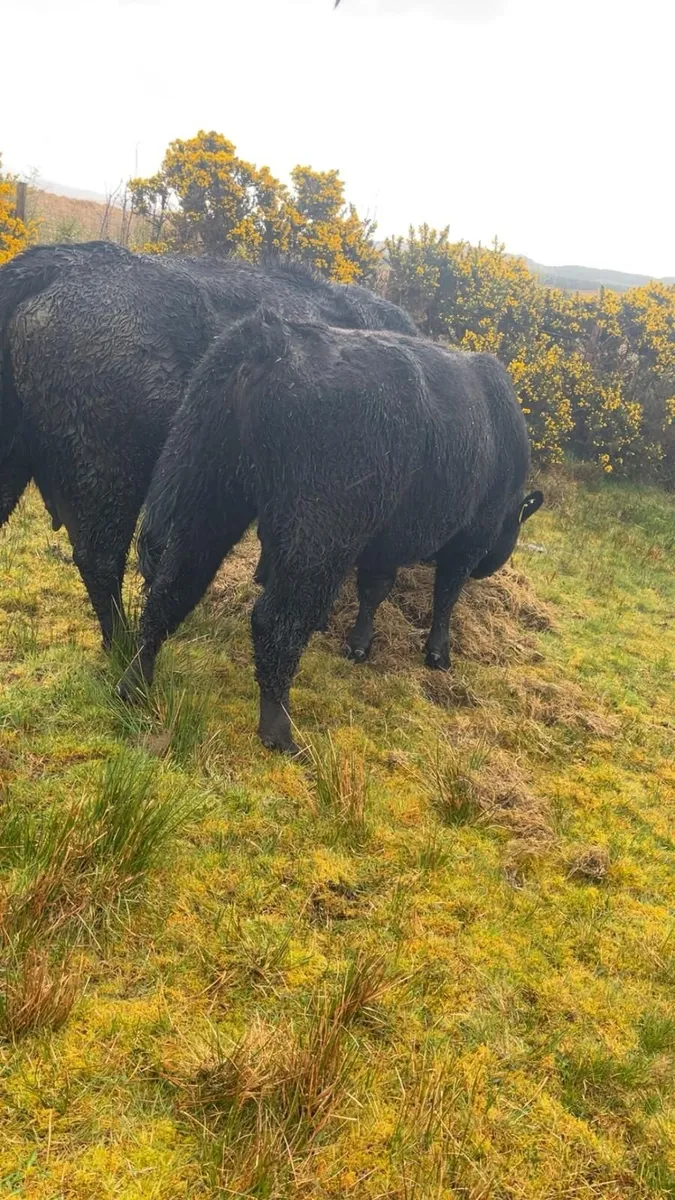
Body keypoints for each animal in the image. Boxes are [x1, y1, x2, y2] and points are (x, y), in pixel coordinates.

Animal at [119, 310, 543, 753]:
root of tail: (272, 336)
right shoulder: (470, 539)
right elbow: (446, 595)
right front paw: (438, 654)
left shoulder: (384, 542)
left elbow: (374, 591)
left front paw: (358, 644)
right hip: (315, 536)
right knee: (275, 620)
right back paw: (279, 730)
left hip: (206, 499)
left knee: (173, 587)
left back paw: (135, 683)